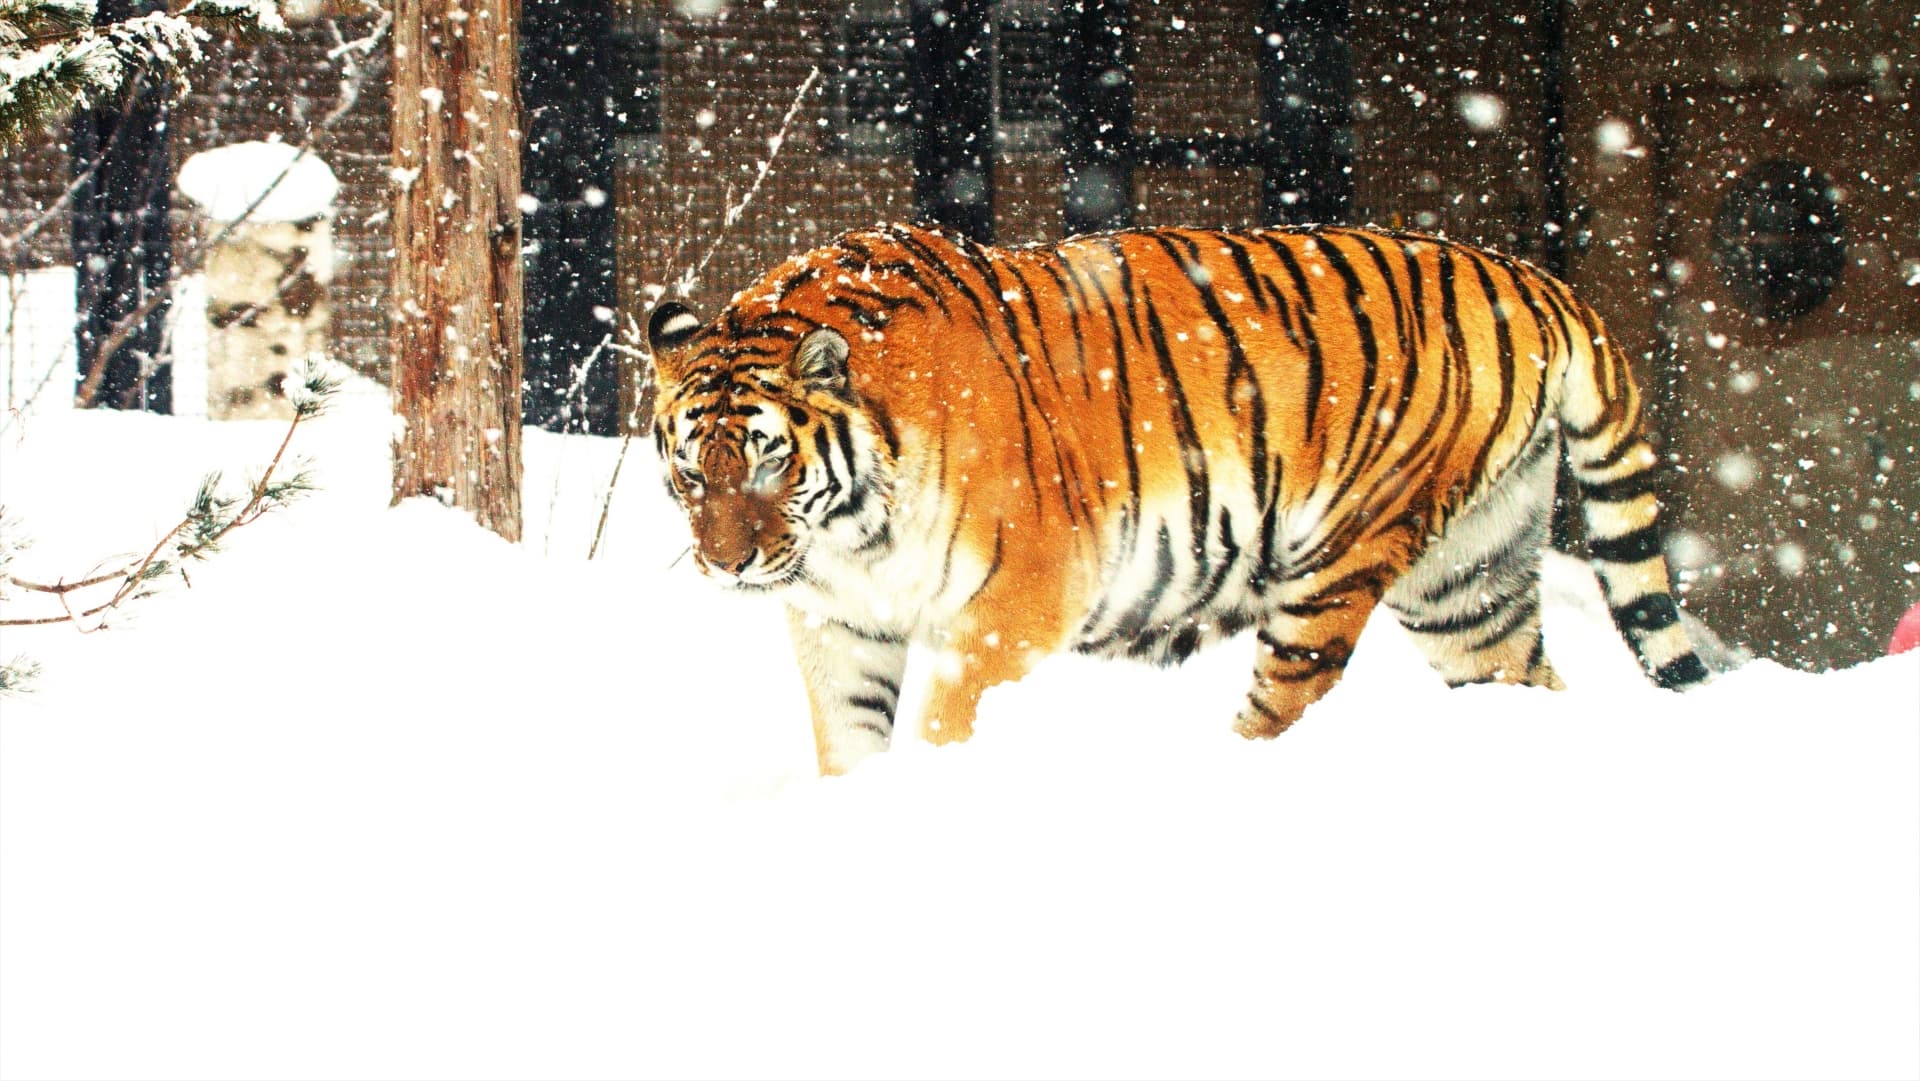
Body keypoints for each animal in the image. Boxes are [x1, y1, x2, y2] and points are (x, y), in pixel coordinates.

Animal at [645, 221, 1712, 779]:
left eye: (769, 463)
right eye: (693, 472)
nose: (727, 562)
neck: (850, 535)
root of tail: (1534, 279)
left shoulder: (1008, 607)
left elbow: (946, 722)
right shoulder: (843, 625)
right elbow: (851, 740)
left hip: (1336, 562)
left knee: (1284, 705)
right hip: (1471, 582)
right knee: (1526, 678)